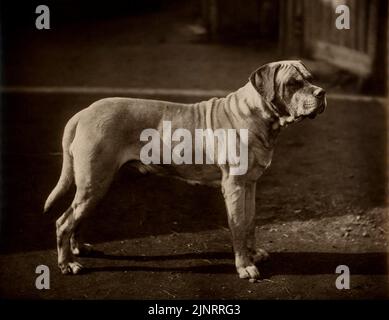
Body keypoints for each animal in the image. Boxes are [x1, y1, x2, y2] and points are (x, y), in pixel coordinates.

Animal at [44, 60, 324, 280]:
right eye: (293, 83)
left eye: (311, 78)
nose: (321, 93)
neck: (257, 114)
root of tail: (84, 112)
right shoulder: (234, 187)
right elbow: (237, 226)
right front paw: (245, 266)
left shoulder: (251, 184)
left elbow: (250, 222)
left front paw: (253, 253)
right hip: (95, 183)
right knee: (63, 221)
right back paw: (67, 264)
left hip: (96, 186)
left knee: (75, 217)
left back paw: (78, 249)